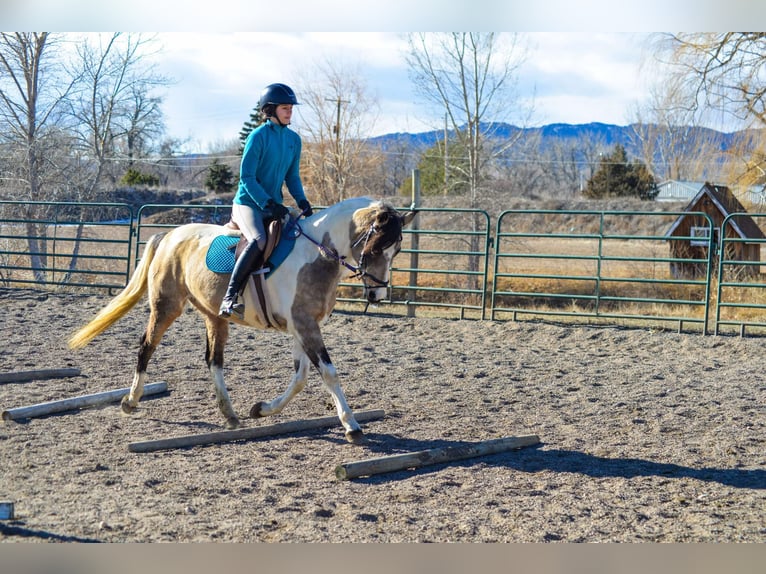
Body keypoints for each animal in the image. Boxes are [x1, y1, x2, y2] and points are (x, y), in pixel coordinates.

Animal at [68, 197, 415, 444]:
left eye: (397, 250)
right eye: (376, 247)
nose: (377, 295)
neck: (316, 254)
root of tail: (169, 236)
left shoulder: (302, 327)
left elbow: (301, 378)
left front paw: (262, 409)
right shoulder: (305, 325)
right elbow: (328, 373)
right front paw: (351, 425)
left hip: (212, 315)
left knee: (213, 359)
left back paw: (231, 414)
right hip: (166, 306)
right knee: (146, 346)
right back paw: (130, 401)